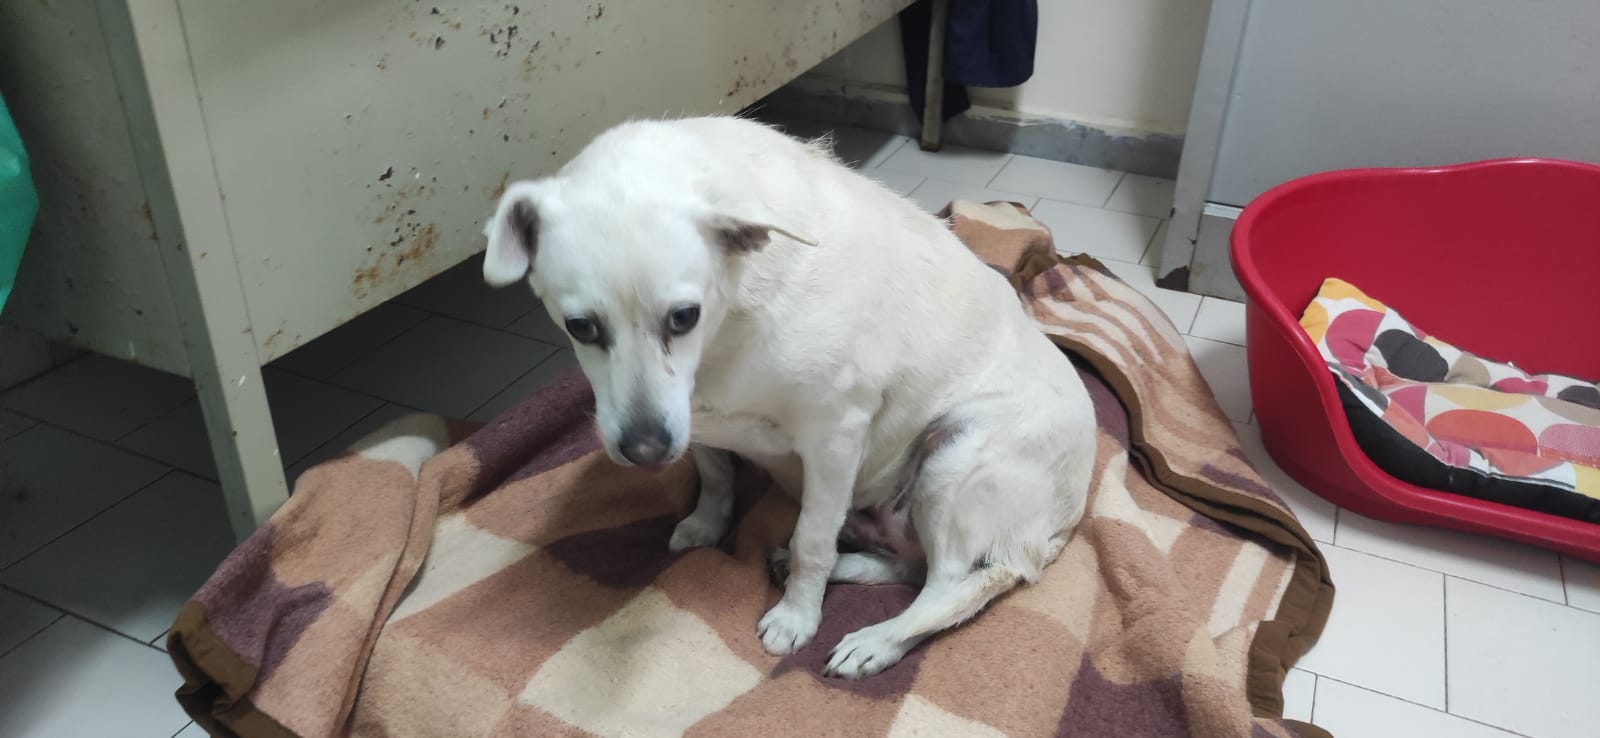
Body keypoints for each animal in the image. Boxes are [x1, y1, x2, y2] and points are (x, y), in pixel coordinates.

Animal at [481, 116, 1096, 679]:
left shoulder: (835, 438)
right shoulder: (696, 423)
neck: (727, 331)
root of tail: (1061, 527)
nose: (646, 451)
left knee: (948, 588)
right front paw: (706, 525)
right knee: (912, 567)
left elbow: (812, 541)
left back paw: (876, 640)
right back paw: (847, 567)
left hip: (955, 458)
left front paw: (797, 616)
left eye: (684, 317)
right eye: (580, 327)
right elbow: (717, 479)